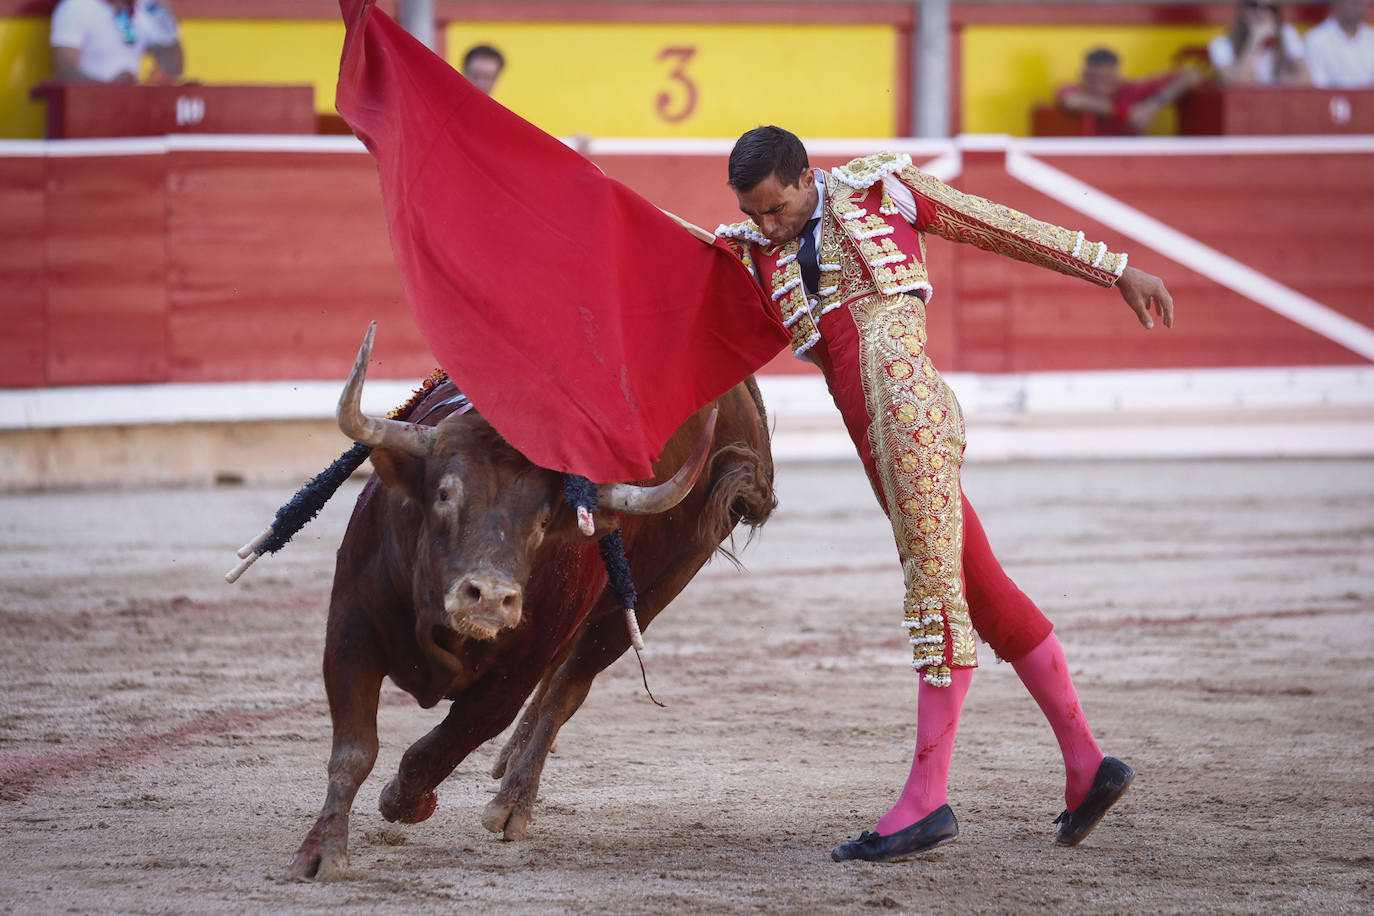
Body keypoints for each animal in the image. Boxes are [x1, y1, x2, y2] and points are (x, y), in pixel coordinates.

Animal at [284, 325, 780, 878]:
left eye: (543, 521)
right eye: (445, 495)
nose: (490, 597)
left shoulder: (514, 675)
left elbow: (439, 747)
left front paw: (404, 802)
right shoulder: (350, 631)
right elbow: (354, 750)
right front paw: (321, 851)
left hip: (646, 599)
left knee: (568, 687)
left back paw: (512, 802)